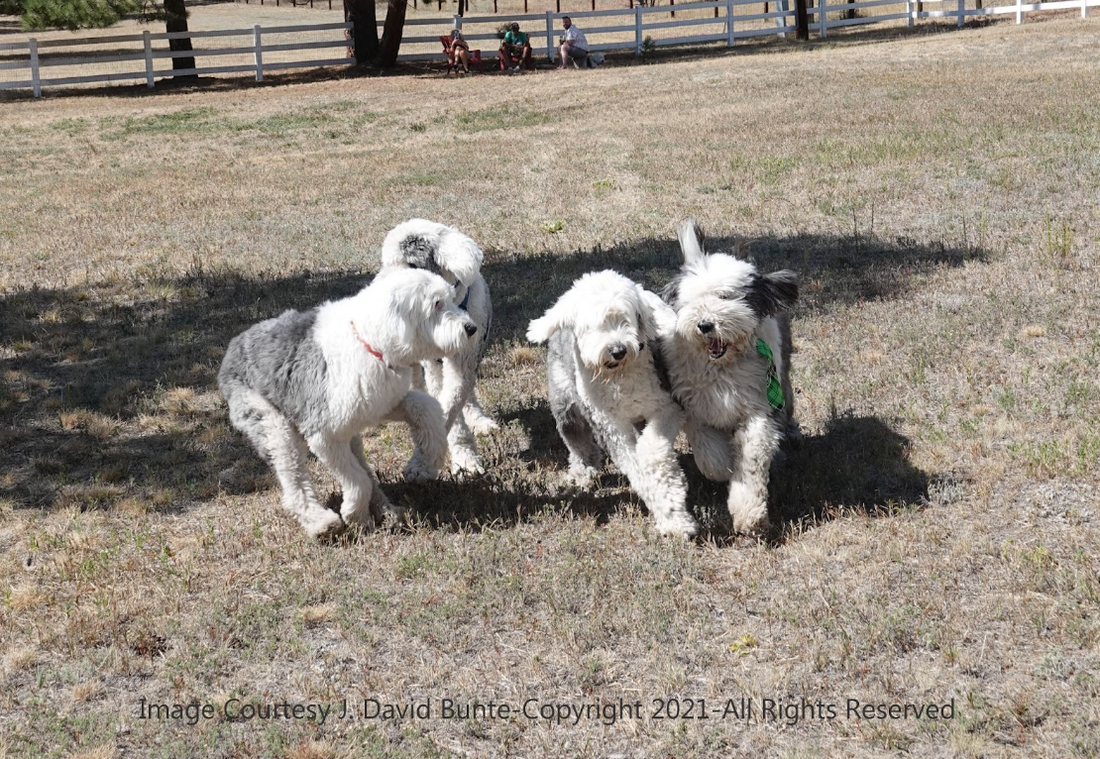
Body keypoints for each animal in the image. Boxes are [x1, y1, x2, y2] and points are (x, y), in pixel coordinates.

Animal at [217, 267, 477, 539]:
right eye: (436, 304)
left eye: (451, 298)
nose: (471, 328)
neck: (371, 341)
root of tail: (233, 346)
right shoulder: (325, 436)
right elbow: (356, 480)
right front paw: (355, 516)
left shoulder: (382, 402)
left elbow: (426, 406)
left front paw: (430, 457)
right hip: (272, 425)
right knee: (294, 477)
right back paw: (320, 522)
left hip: (352, 436)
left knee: (366, 471)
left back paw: (388, 511)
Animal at [380, 217, 497, 473]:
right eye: (385, 263)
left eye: (412, 264)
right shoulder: (433, 368)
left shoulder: (463, 363)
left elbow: (453, 403)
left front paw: (462, 458)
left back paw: (478, 420)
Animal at [523, 269, 695, 534]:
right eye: (594, 324)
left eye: (626, 319)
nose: (617, 350)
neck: (620, 379)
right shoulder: (610, 425)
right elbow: (634, 465)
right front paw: (670, 514)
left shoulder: (666, 407)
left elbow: (652, 451)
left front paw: (675, 515)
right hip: (565, 404)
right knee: (576, 437)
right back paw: (582, 470)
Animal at [651, 218, 800, 534]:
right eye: (692, 300)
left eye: (725, 297)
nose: (705, 324)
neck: (722, 369)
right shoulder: (695, 408)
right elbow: (711, 455)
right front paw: (724, 468)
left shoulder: (758, 409)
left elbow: (753, 459)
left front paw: (749, 514)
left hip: (782, 382)